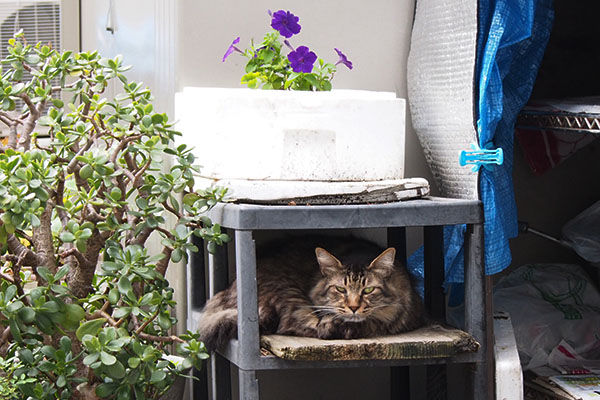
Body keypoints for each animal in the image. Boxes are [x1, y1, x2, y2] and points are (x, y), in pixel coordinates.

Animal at [197, 236, 422, 352]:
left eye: (368, 290)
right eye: (341, 289)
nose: (353, 307)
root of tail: (229, 290)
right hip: (286, 292)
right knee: (294, 324)